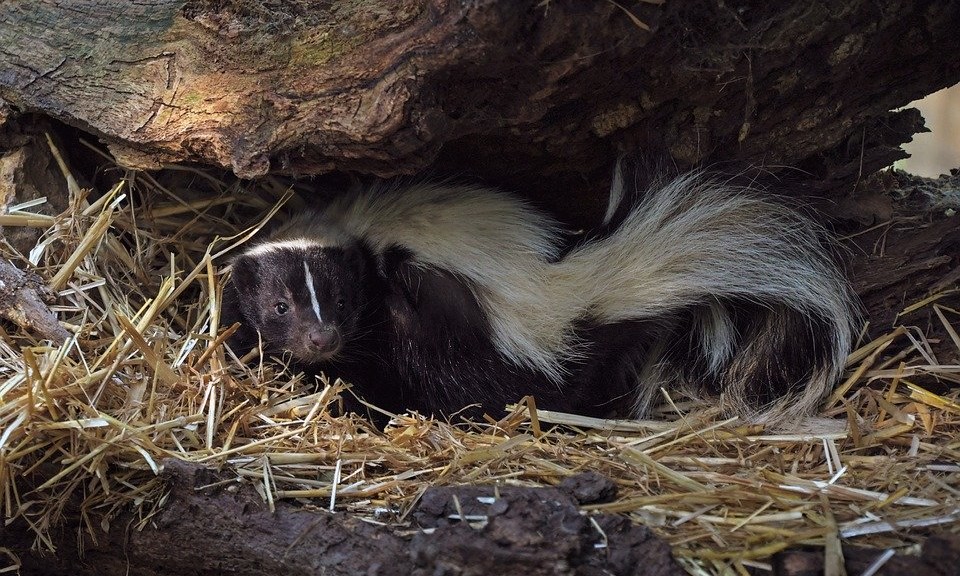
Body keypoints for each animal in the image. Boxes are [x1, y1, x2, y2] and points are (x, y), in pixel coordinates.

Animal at [221, 168, 860, 424]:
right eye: (280, 307)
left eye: (343, 303)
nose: (321, 338)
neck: (348, 229)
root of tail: (573, 288)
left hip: (457, 335)